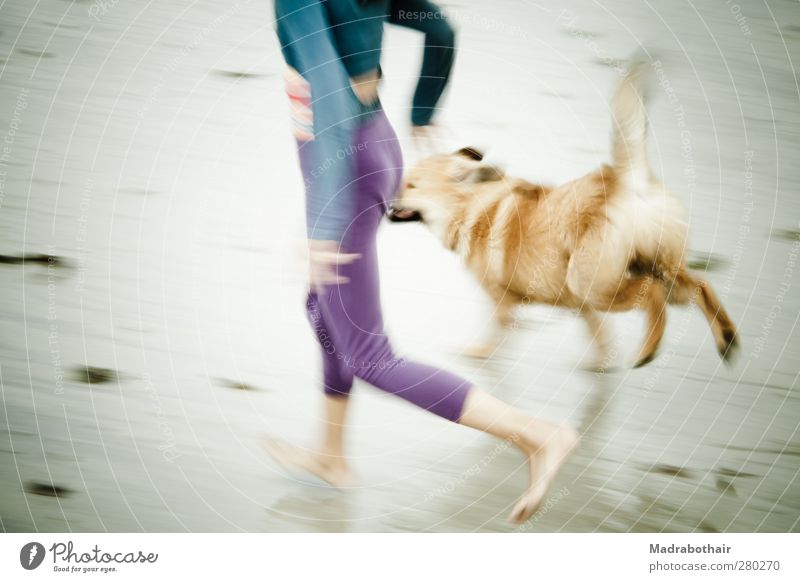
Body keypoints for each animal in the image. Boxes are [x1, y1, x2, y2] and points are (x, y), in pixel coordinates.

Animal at [388, 64, 736, 370]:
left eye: (412, 184)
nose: (388, 195)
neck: (471, 205)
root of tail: (626, 180)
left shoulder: (503, 299)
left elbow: (495, 332)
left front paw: (480, 353)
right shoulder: (578, 305)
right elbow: (598, 334)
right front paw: (600, 365)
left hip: (596, 285)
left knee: (652, 293)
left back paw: (648, 350)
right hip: (657, 268)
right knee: (699, 285)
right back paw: (726, 339)